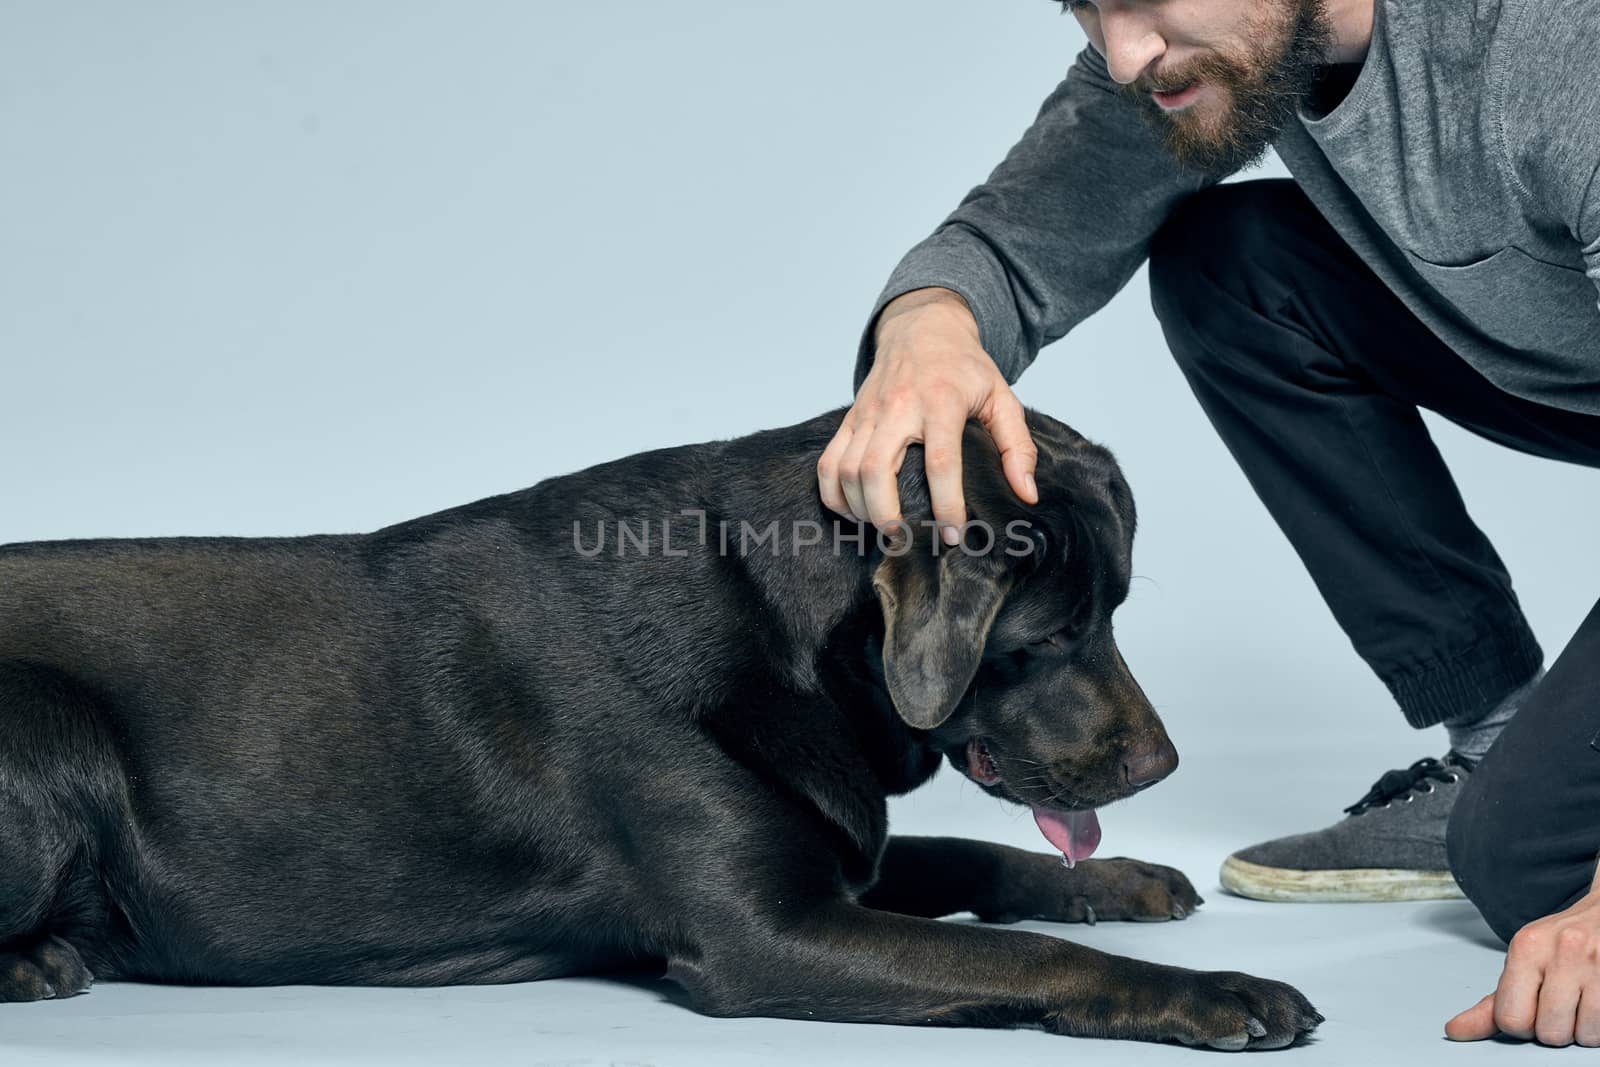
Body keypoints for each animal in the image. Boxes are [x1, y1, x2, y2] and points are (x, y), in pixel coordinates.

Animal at [0, 409, 1324, 1049]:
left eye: (1117, 611)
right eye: (1046, 638)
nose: (1160, 763)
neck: (785, 635)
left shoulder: (832, 850)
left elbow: (975, 860)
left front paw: (1126, 879)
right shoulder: (765, 931)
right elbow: (1026, 956)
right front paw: (1215, 991)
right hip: (50, 718)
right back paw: (37, 962)